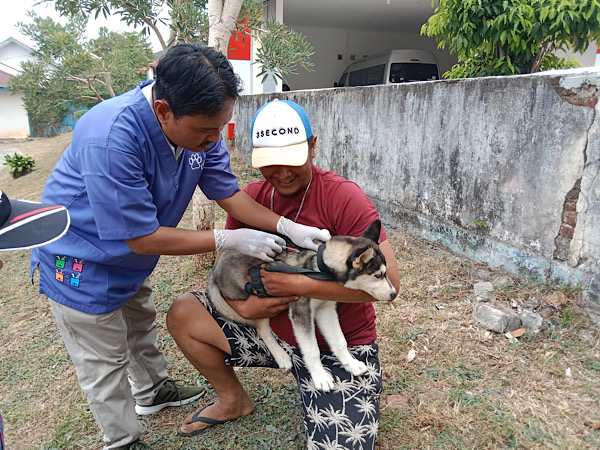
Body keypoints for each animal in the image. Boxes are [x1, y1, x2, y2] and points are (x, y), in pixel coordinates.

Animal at [206, 220, 398, 392]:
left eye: (385, 273)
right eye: (378, 275)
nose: (394, 294)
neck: (320, 263)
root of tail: (215, 272)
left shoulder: (325, 308)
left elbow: (339, 341)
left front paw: (351, 364)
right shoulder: (300, 312)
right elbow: (312, 349)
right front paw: (320, 377)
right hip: (254, 297)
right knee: (261, 327)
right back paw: (281, 356)